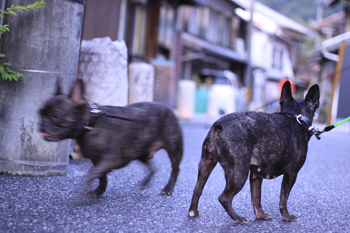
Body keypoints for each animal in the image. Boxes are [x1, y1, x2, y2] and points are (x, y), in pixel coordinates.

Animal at [39, 79, 183, 197]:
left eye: (55, 115)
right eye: (40, 113)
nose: (41, 123)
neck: (91, 124)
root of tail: (169, 109)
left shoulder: (111, 160)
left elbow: (91, 174)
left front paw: (86, 188)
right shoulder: (97, 161)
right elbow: (101, 176)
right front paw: (98, 191)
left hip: (174, 148)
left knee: (175, 169)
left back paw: (168, 188)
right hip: (141, 152)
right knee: (153, 168)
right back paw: (145, 183)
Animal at [189, 81, 320, 224]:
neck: (295, 117)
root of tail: (219, 125)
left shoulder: (256, 175)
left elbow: (256, 197)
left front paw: (260, 215)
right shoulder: (291, 174)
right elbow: (283, 199)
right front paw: (286, 216)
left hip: (207, 163)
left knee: (198, 188)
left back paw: (193, 212)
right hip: (239, 173)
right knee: (224, 198)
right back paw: (238, 218)